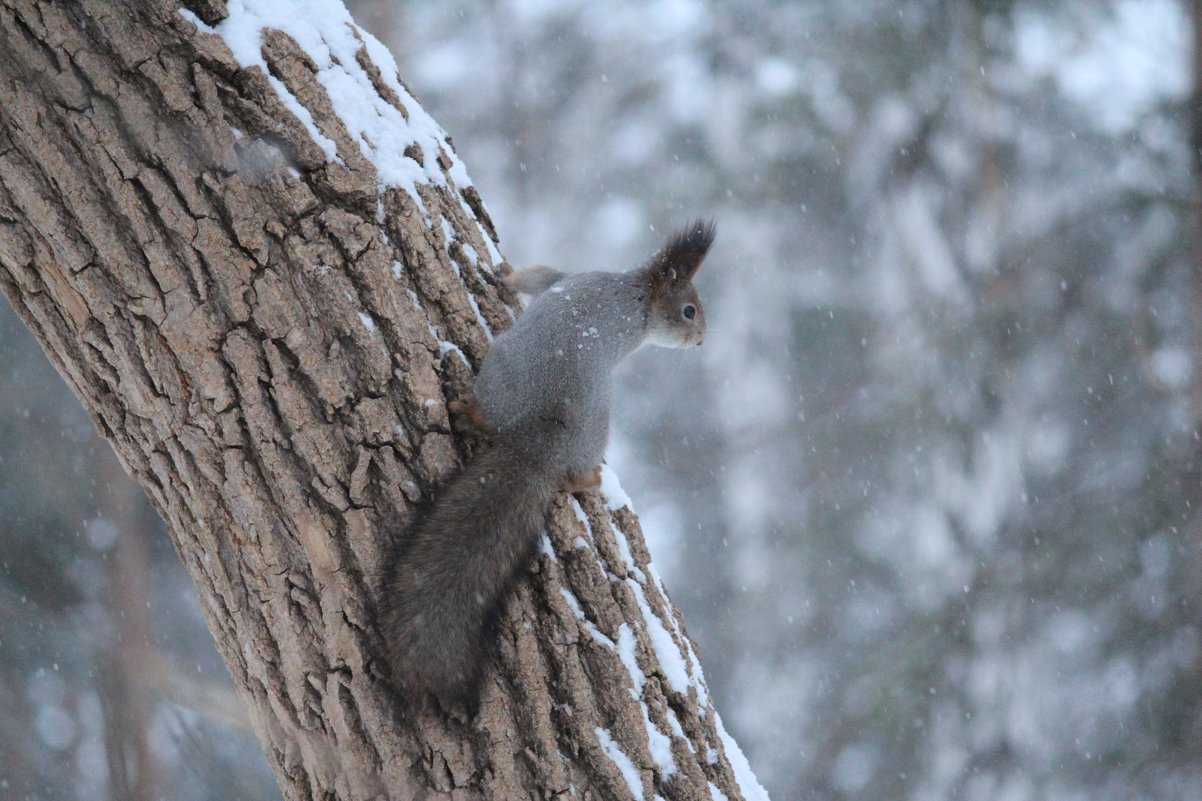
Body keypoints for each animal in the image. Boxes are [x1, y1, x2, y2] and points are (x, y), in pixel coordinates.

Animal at [379, 218, 711, 707]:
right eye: (690, 310)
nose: (702, 339)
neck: (635, 293)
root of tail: (539, 445)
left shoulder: (563, 280)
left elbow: (533, 279)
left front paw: (500, 274)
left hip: (501, 369)